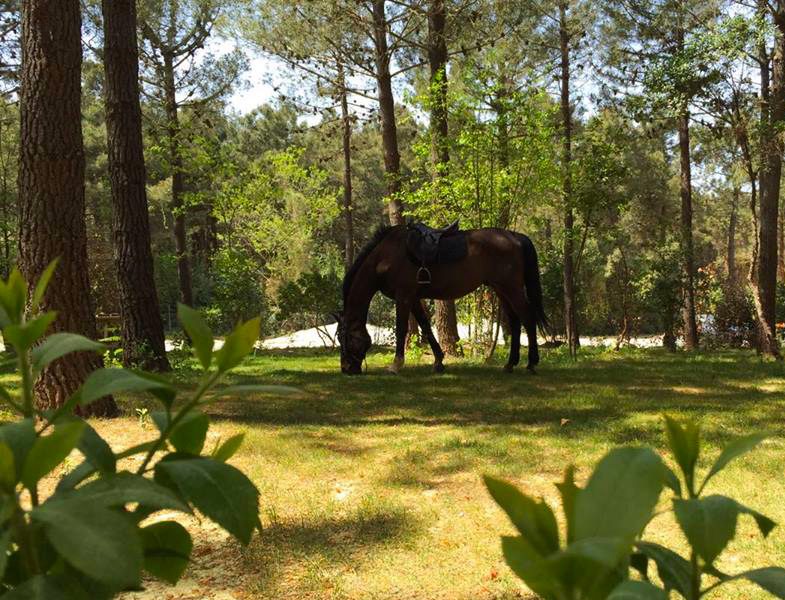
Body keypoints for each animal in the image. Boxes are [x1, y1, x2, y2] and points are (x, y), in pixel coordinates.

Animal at [334, 224, 548, 376]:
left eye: (344, 338)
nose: (346, 368)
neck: (385, 257)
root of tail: (514, 236)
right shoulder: (413, 298)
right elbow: (426, 326)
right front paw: (438, 361)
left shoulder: (404, 297)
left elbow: (402, 328)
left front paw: (396, 365)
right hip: (501, 290)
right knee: (515, 321)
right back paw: (510, 364)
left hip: (511, 289)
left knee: (528, 319)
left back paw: (531, 363)